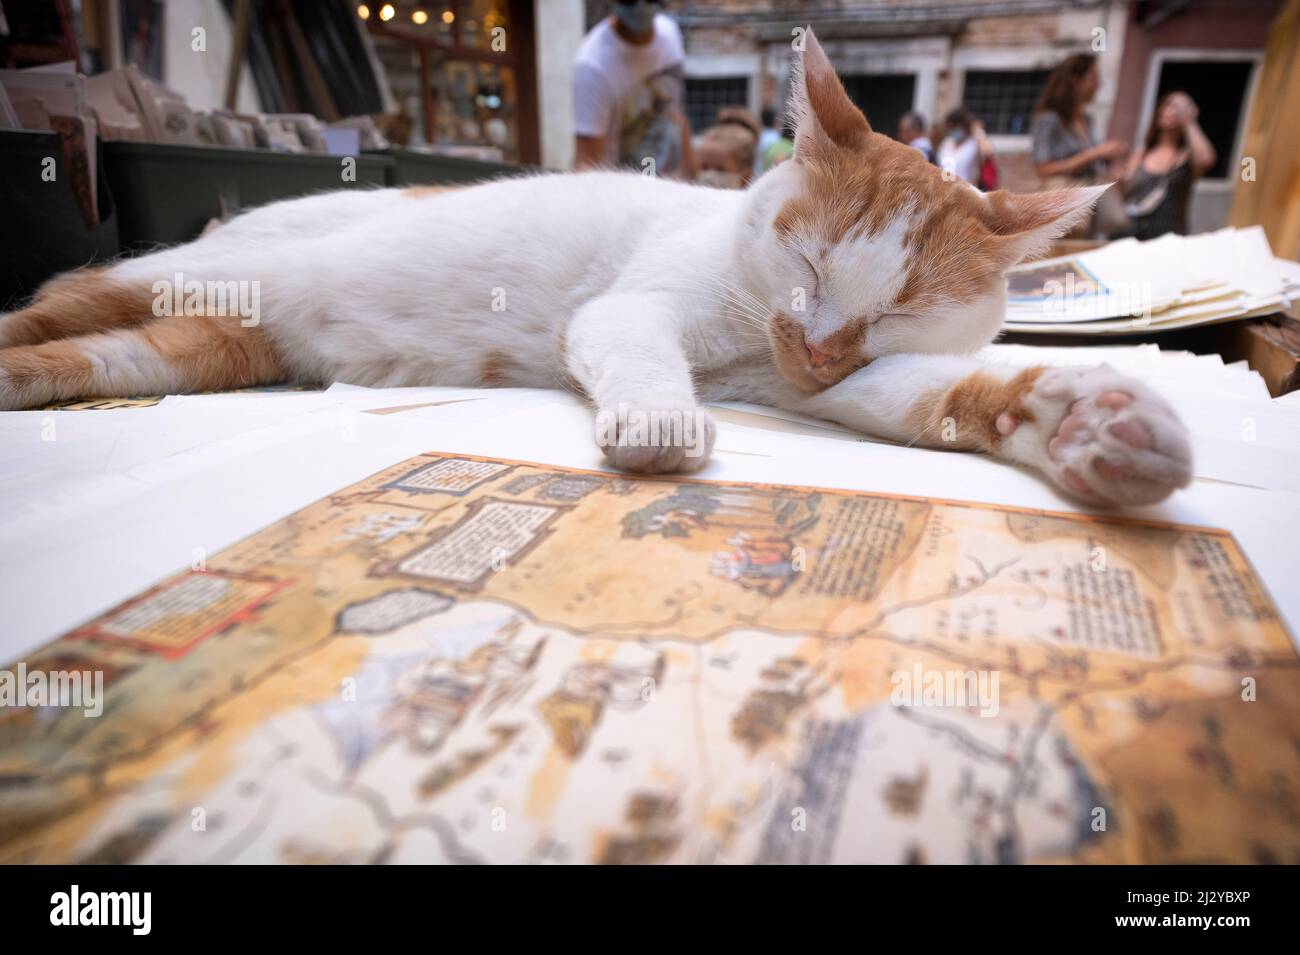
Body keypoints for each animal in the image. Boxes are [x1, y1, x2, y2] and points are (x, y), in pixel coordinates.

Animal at [0, 29, 1190, 509]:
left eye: (896, 309)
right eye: (806, 264)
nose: (814, 346)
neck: (754, 346)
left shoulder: (843, 387)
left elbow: (950, 392)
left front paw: (1091, 424)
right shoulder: (638, 312)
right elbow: (644, 354)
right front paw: (662, 421)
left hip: (186, 349)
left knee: (79, 360)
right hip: (152, 282)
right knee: (41, 310)